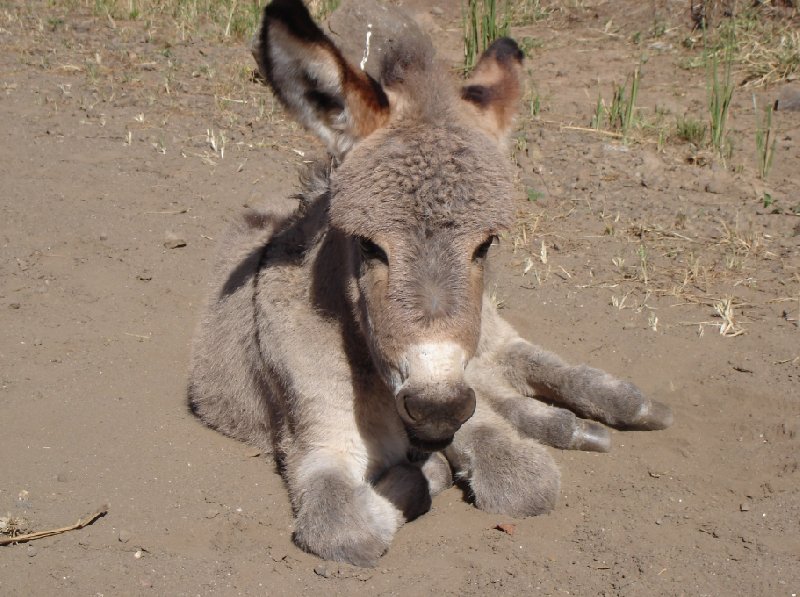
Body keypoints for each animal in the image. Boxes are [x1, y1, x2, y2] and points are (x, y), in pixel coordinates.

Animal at [191, 0, 672, 564]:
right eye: (368, 245)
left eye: (486, 244)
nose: (436, 409)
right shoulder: (319, 439)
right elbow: (346, 526)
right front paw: (433, 471)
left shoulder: (461, 398)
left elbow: (523, 479)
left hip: (486, 334)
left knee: (523, 362)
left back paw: (620, 410)